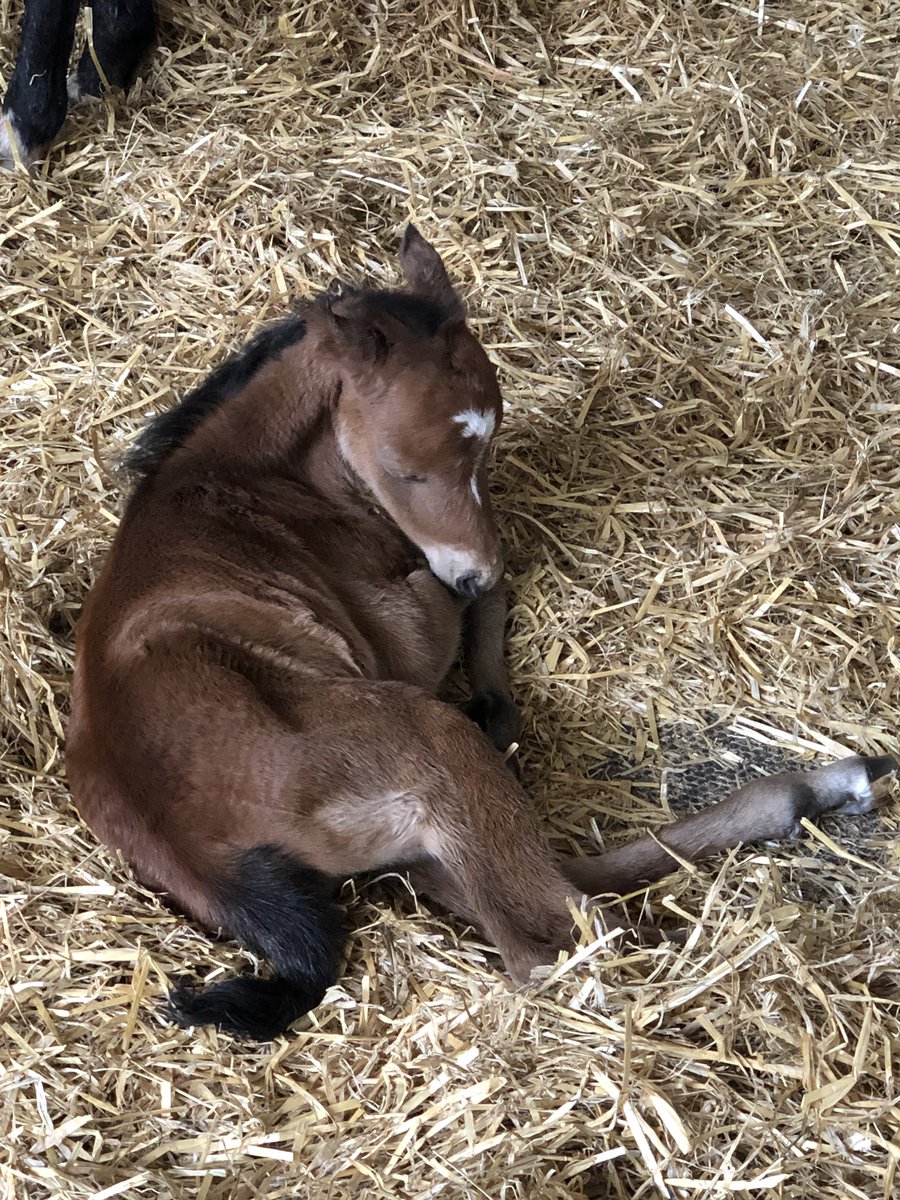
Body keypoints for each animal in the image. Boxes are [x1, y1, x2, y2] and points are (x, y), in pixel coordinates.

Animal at [66, 226, 897, 1040]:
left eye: (488, 446)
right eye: (407, 472)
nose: (467, 566)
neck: (250, 479)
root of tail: (202, 856)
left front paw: (498, 688)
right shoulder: (410, 623)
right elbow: (485, 591)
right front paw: (495, 693)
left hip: (416, 839)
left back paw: (821, 786)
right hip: (425, 743)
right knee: (556, 940)